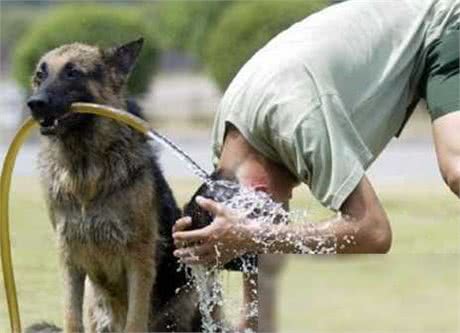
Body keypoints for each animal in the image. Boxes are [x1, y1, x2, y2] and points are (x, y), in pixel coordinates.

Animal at [25, 38, 201, 330]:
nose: (34, 103)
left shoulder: (138, 260)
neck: (84, 171)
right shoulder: (70, 260)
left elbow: (135, 322)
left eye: (73, 73)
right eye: (40, 75)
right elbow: (71, 318)